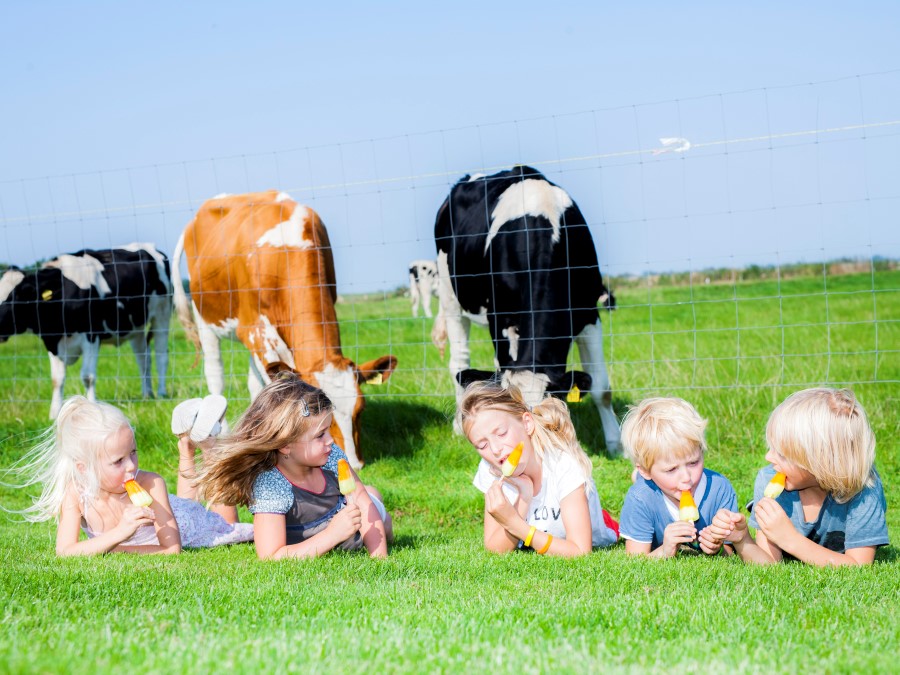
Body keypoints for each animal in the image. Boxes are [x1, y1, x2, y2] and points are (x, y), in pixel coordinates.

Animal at [0, 243, 172, 418]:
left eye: (16, 295)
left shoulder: (91, 336)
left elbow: (87, 376)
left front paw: (92, 407)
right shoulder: (51, 342)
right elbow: (57, 379)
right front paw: (54, 414)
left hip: (162, 314)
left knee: (161, 355)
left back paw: (162, 393)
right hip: (136, 327)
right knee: (143, 359)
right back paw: (147, 394)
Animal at [430, 166, 620, 456]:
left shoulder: (588, 313)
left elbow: (601, 388)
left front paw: (616, 445)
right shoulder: (499, 319)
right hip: (451, 297)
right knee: (459, 362)